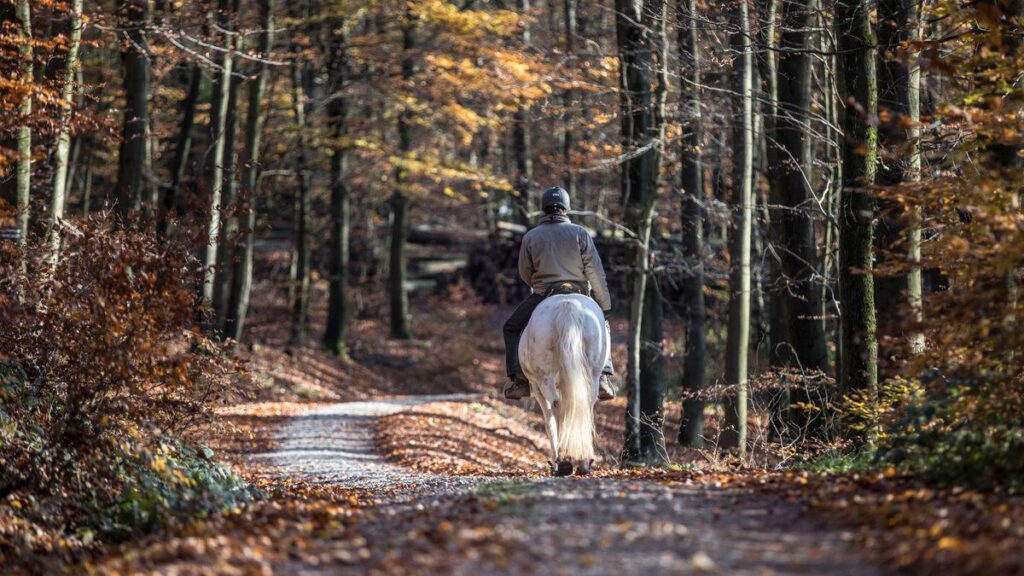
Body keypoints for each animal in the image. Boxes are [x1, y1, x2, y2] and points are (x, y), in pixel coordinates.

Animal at [519, 293, 609, 476]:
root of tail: (567, 305)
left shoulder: (536, 386)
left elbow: (549, 422)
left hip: (544, 378)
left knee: (557, 408)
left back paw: (563, 461)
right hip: (592, 375)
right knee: (584, 406)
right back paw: (583, 461)